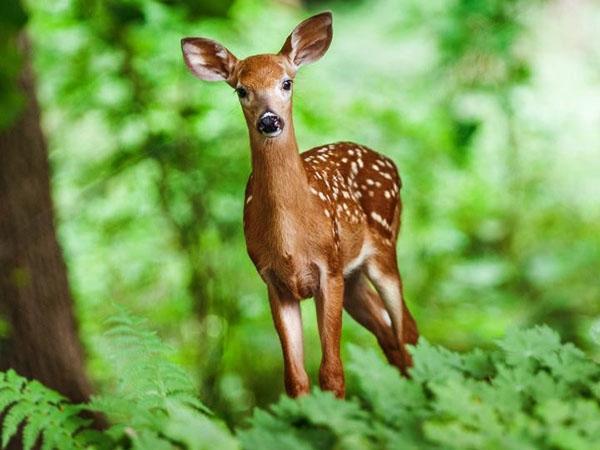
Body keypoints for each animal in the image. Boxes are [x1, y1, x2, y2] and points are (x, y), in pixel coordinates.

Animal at [180, 10, 420, 398]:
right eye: (241, 90)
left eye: (287, 82)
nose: (269, 120)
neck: (291, 239)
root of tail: (390, 163)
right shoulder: (273, 281)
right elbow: (295, 378)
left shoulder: (328, 269)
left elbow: (332, 372)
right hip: (353, 276)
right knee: (389, 334)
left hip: (383, 248)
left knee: (407, 330)